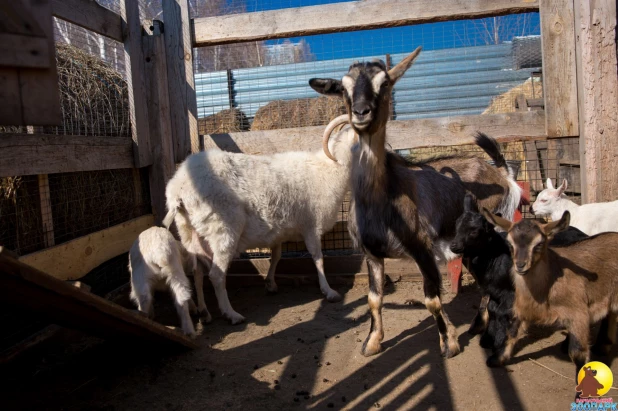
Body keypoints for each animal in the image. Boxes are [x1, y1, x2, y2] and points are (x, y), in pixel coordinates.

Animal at [162, 122, 356, 326]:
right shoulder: (311, 225)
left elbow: (276, 256)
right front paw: (329, 291)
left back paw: (204, 312)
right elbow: (318, 258)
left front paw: (270, 284)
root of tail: (179, 187)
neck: (329, 167)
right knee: (216, 275)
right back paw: (232, 314)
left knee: (197, 272)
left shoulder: (279, 230)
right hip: (223, 230)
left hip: (191, 233)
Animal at [308, 47, 520, 358]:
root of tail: (502, 176)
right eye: (344, 88)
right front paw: (372, 342)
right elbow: (374, 299)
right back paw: (476, 326)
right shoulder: (372, 254)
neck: (381, 199)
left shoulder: (423, 249)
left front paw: (449, 344)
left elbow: (431, 300)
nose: (361, 112)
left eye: (384, 83)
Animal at [482, 212, 616, 384]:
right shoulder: (523, 308)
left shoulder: (578, 313)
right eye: (510, 244)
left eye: (539, 244)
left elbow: (578, 352)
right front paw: (496, 359)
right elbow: (511, 332)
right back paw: (602, 346)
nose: (520, 265)